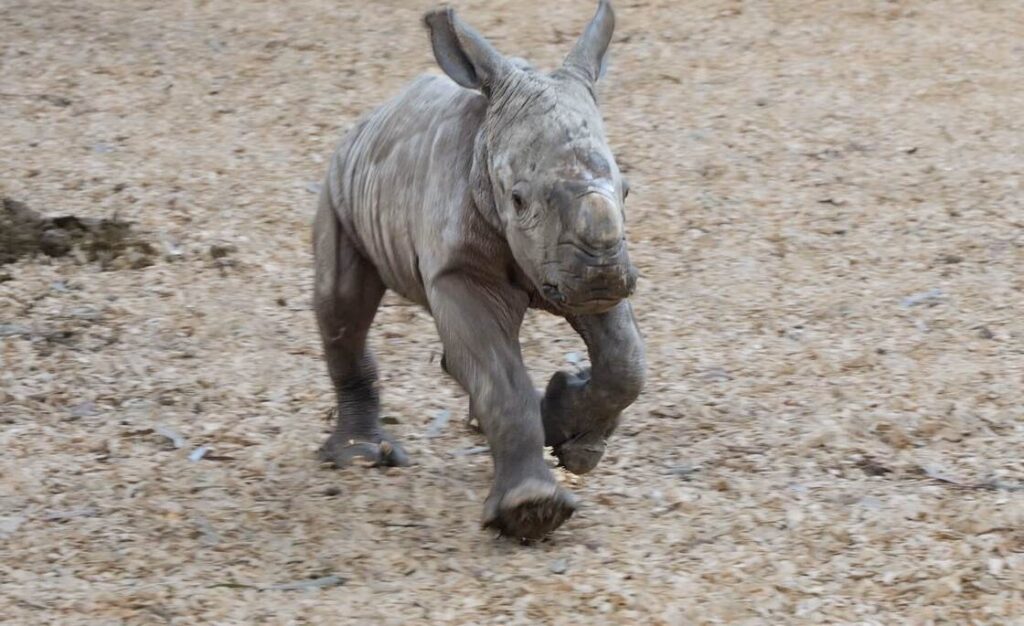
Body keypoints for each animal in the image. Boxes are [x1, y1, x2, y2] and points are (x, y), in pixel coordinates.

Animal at [312, 0, 645, 539]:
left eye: (629, 191)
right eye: (518, 199)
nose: (603, 276)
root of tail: (370, 117)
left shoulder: (567, 268)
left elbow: (626, 359)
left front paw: (570, 436)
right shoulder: (458, 270)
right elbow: (498, 376)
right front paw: (532, 513)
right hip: (339, 182)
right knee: (342, 307)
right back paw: (361, 458)